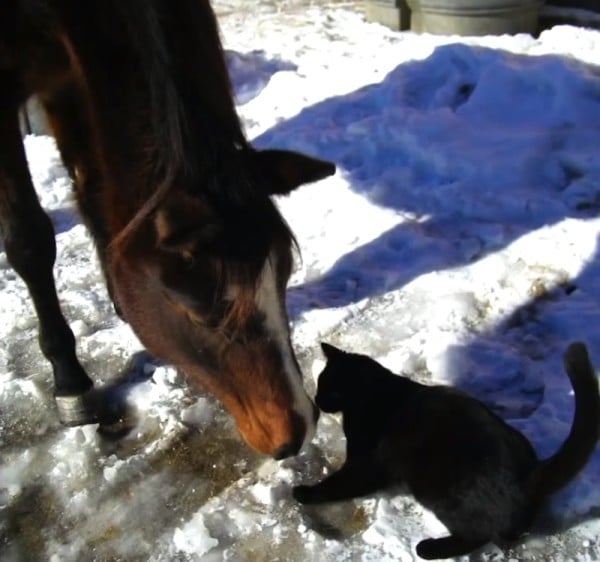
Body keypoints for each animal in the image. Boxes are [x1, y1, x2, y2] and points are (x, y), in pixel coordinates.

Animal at [0, 0, 336, 458]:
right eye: (204, 310)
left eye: (283, 276)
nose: (297, 430)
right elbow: (29, 241)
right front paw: (70, 382)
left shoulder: (71, 80)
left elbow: (94, 192)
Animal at [292, 342, 596, 556]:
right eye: (320, 385)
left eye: (328, 389)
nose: (317, 401)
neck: (370, 394)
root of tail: (531, 473)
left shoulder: (366, 463)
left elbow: (340, 483)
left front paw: (304, 493)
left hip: (438, 490)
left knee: (477, 534)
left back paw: (428, 549)